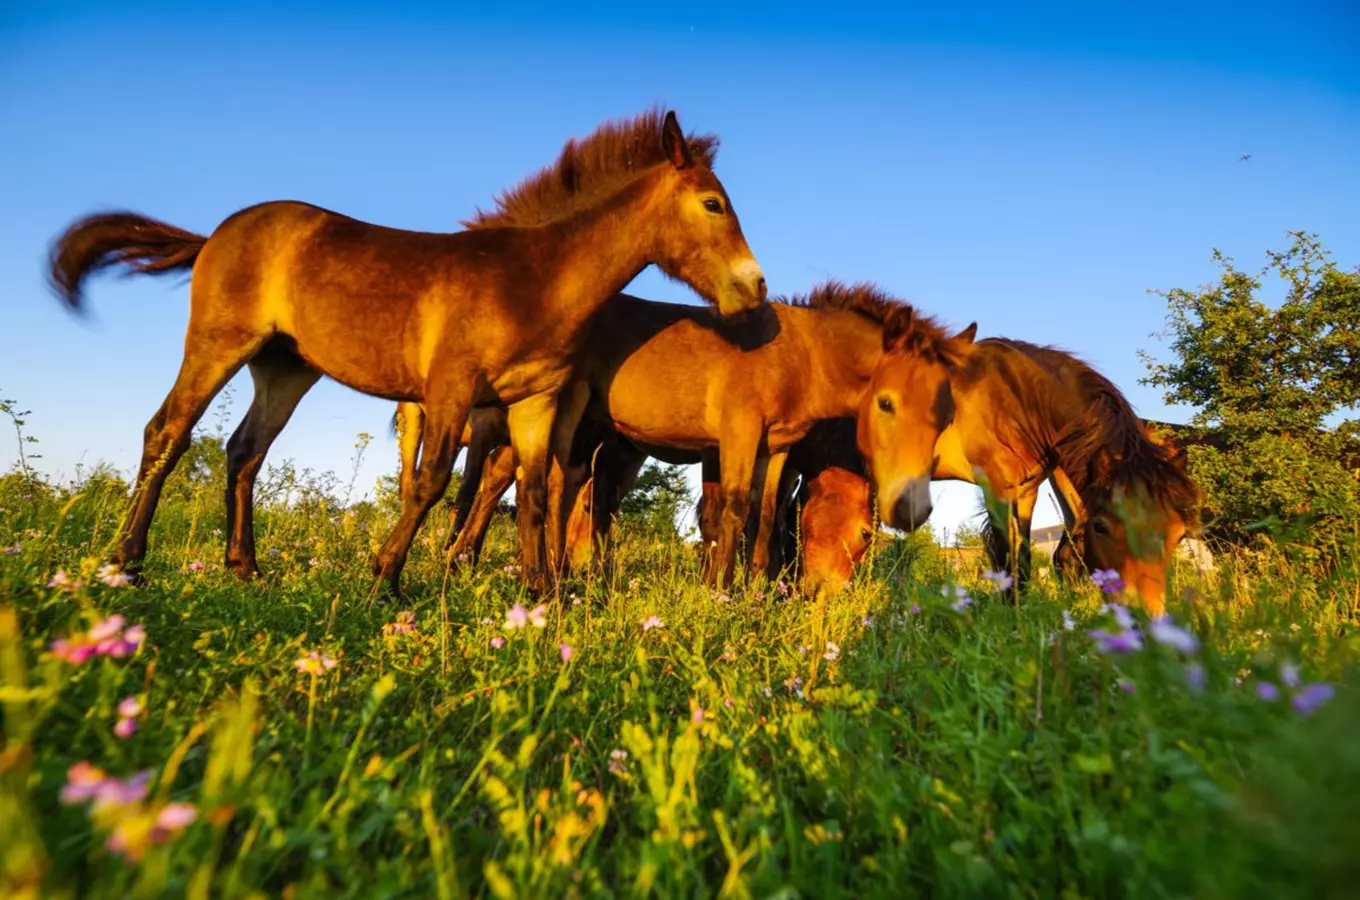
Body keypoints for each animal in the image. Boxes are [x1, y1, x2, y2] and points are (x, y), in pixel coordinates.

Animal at [47, 109, 767, 595]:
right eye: (712, 203)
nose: (754, 287)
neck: (530, 279)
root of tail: (216, 234)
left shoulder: (534, 403)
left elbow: (535, 492)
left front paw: (541, 596)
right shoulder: (451, 389)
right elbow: (431, 481)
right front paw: (385, 577)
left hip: (285, 368)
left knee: (244, 451)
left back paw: (244, 568)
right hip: (217, 345)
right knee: (167, 432)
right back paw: (126, 562)